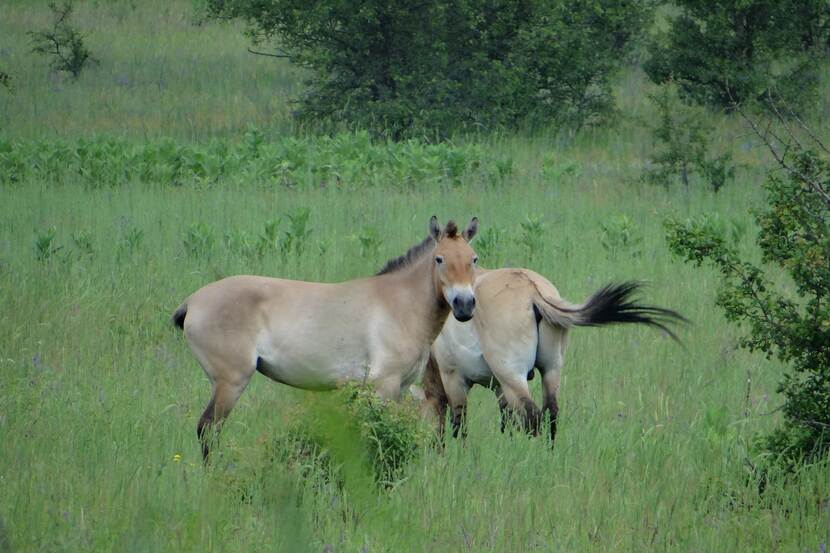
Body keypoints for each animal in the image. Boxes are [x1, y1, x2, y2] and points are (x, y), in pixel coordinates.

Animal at [172, 215, 478, 458]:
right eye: (440, 259)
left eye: (473, 259)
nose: (464, 305)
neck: (399, 303)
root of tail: (192, 302)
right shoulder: (385, 386)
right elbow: (379, 433)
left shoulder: (398, 388)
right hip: (230, 383)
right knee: (207, 429)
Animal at [426, 266, 684, 442]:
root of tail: (533, 291)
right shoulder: (498, 387)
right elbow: (505, 422)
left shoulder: (455, 379)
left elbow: (459, 425)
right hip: (550, 370)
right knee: (551, 413)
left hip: (513, 376)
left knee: (533, 417)